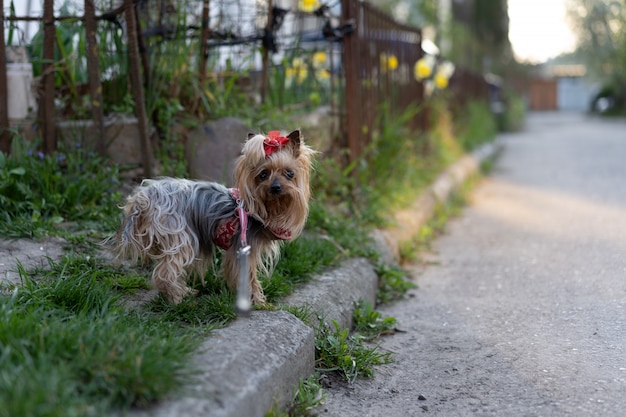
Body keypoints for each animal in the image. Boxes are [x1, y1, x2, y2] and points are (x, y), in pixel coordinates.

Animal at [113, 130, 312, 306]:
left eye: (289, 173)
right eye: (263, 174)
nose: (276, 188)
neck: (270, 208)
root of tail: (145, 197)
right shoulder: (243, 248)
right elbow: (249, 277)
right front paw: (259, 302)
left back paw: (184, 292)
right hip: (179, 234)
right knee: (167, 272)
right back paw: (177, 300)